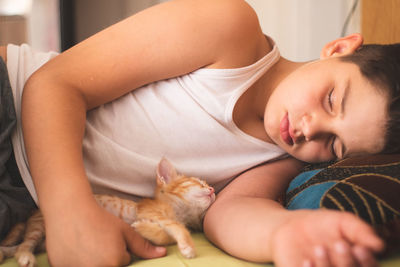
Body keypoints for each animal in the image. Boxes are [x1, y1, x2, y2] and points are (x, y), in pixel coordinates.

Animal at [0, 159, 216, 266]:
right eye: (199, 183)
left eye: (207, 184)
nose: (213, 190)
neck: (178, 210)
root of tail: (30, 216)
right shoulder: (150, 211)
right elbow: (174, 227)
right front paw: (188, 245)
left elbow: (165, 235)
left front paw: (144, 230)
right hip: (38, 228)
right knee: (24, 245)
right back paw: (25, 257)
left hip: (42, 241)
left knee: (18, 246)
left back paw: (6, 252)